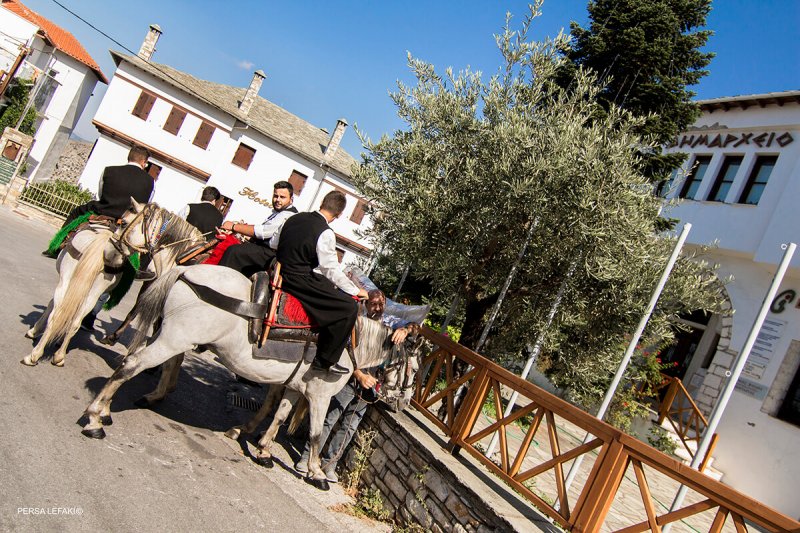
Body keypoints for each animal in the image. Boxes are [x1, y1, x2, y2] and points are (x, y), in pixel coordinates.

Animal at [22, 200, 206, 366]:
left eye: (123, 222)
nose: (109, 251)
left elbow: (52, 305)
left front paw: (34, 331)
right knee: (74, 319)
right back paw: (58, 355)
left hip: (69, 279)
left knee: (58, 314)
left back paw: (35, 355)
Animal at [81, 264, 400, 488]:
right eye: (405, 365)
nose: (396, 401)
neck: (351, 343)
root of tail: (186, 270)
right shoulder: (319, 395)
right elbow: (316, 433)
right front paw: (316, 473)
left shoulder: (295, 387)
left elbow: (279, 416)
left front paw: (263, 451)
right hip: (174, 339)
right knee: (132, 364)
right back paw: (96, 418)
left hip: (176, 338)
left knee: (157, 363)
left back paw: (122, 405)